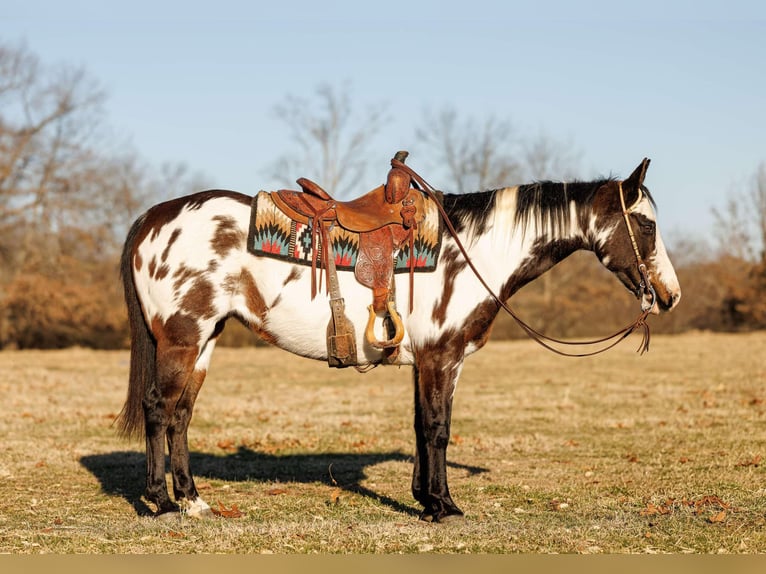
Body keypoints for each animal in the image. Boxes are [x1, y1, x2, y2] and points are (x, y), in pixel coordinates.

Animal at [117, 157, 681, 522]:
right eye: (646, 225)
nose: (670, 295)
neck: (473, 250)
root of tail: (153, 218)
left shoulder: (432, 362)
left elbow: (420, 427)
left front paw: (426, 500)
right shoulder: (440, 358)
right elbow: (437, 429)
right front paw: (445, 507)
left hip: (204, 340)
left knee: (182, 415)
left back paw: (193, 500)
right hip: (182, 338)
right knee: (158, 408)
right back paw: (161, 503)